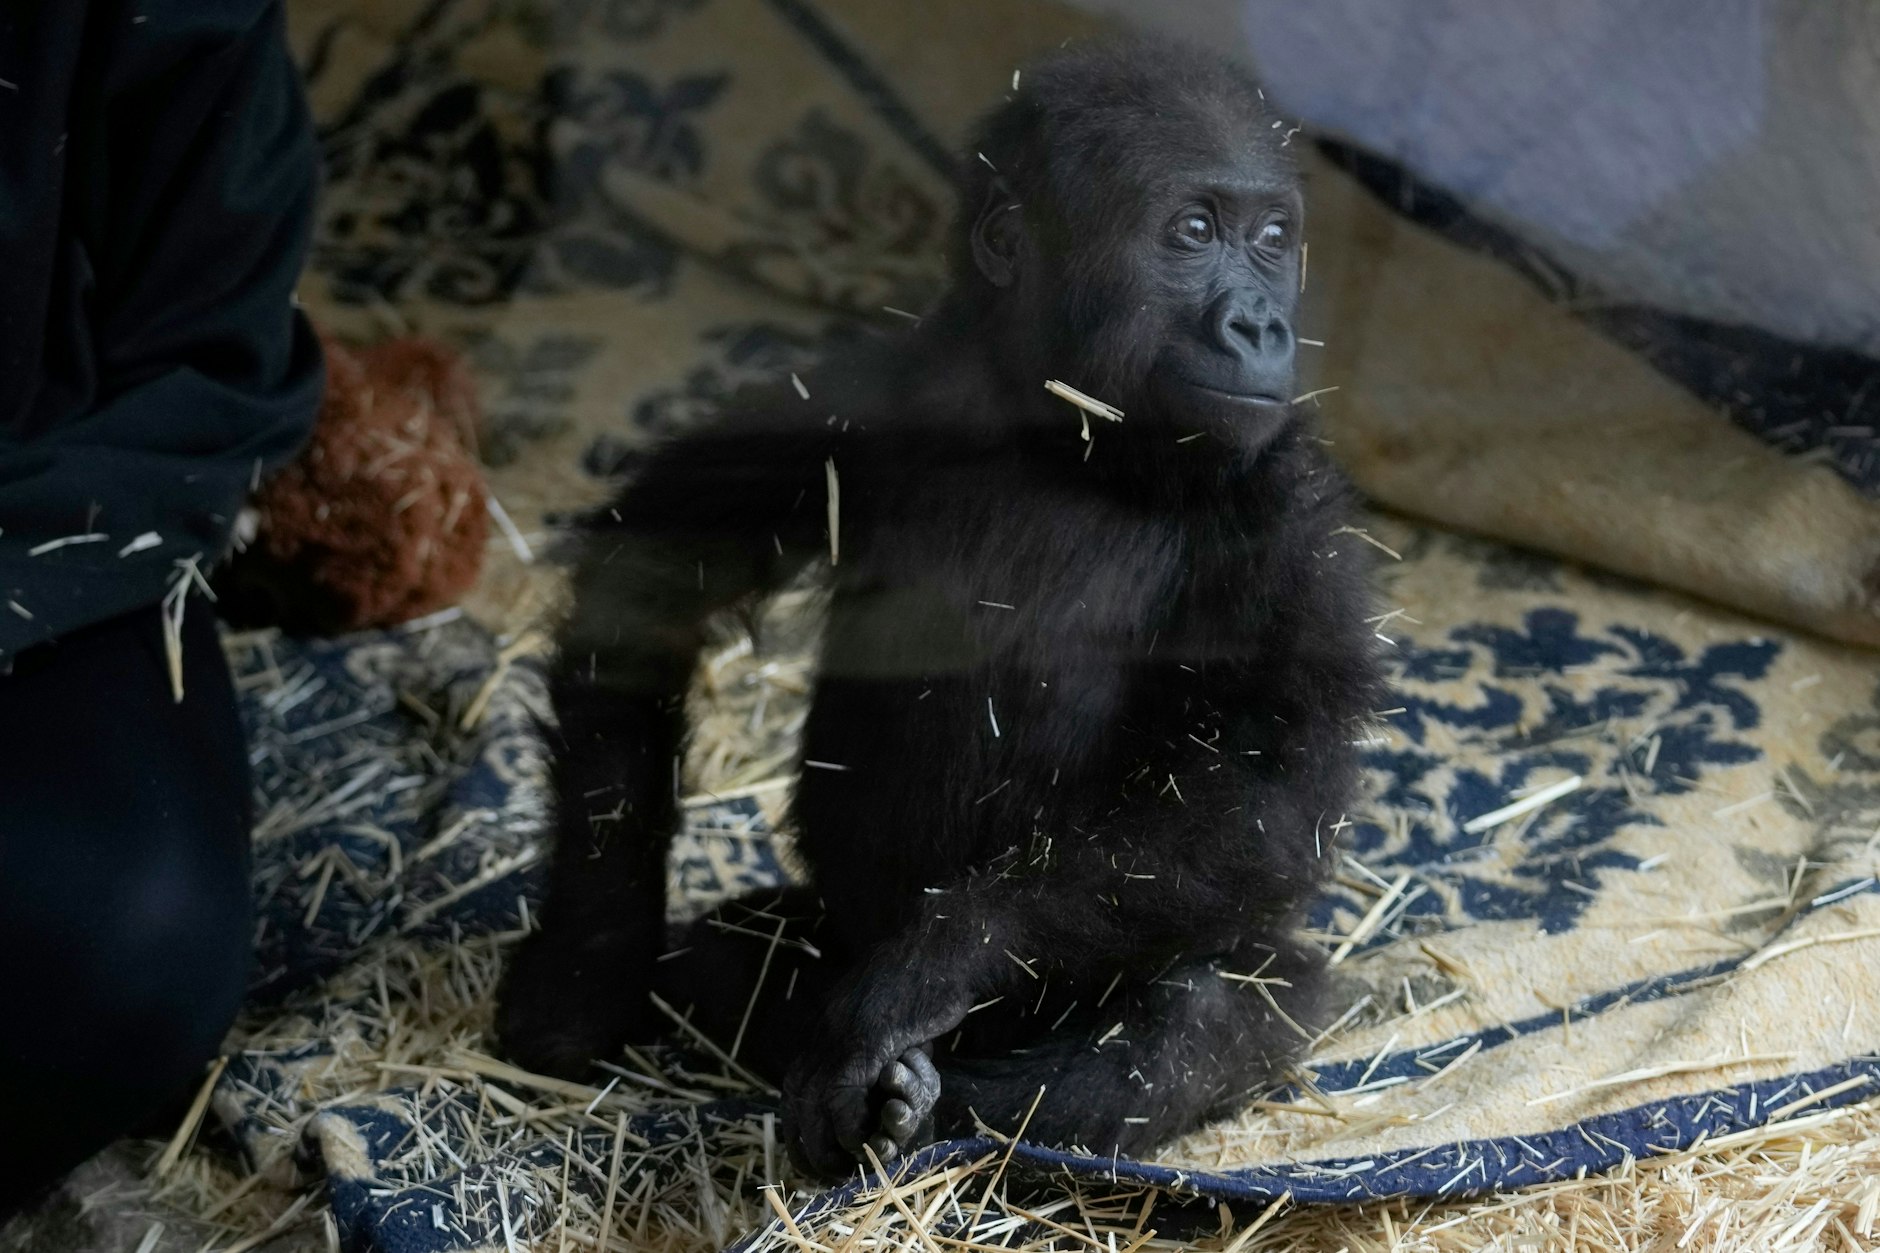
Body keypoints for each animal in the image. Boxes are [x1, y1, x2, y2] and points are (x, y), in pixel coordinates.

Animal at [495, 36, 1385, 1179]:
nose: (1262, 322)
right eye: (1193, 231)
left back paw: (935, 1100)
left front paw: (924, 972)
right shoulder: (860, 386)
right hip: (827, 930)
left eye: (1274, 240)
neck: (1065, 429)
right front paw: (587, 961)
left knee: (1196, 1018)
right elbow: (654, 569)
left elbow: (1264, 789)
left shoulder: (1292, 510)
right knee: (735, 958)